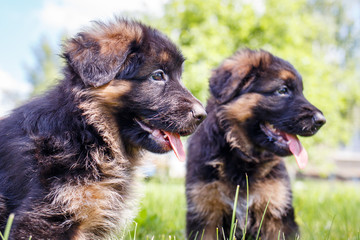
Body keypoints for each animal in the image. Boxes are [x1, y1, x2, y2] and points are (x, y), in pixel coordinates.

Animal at [186, 48, 326, 240]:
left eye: (301, 92)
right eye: (283, 90)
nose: (322, 120)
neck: (242, 157)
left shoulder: (275, 213)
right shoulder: (205, 211)